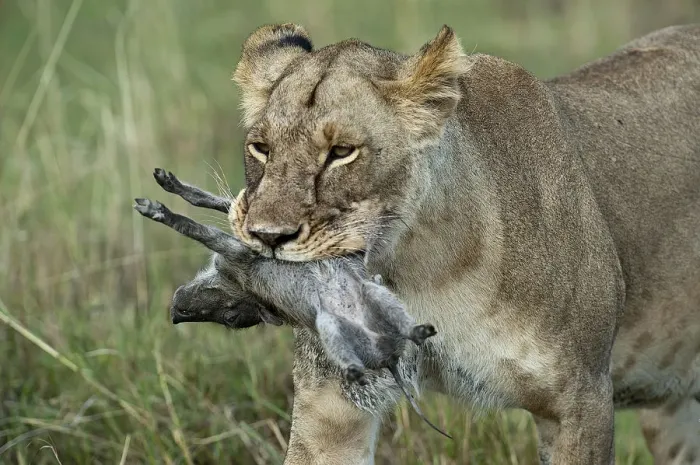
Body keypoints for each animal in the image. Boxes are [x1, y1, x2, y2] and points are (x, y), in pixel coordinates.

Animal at [226, 22, 700, 464]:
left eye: (342, 152)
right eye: (261, 148)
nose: (268, 236)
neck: (413, 269)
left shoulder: (582, 398)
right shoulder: (332, 398)